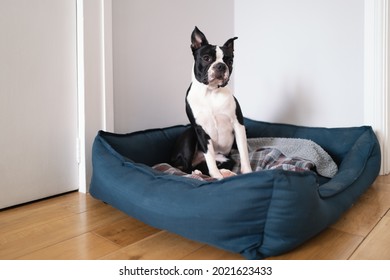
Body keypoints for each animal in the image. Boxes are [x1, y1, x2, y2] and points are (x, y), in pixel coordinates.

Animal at [171, 26, 251, 179]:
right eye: (206, 58)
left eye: (230, 61)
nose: (221, 66)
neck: (211, 92)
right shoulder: (200, 130)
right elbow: (209, 158)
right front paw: (217, 176)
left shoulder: (238, 125)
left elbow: (243, 151)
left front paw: (247, 171)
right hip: (190, 136)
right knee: (186, 167)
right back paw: (198, 172)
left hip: (226, 158)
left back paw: (224, 171)